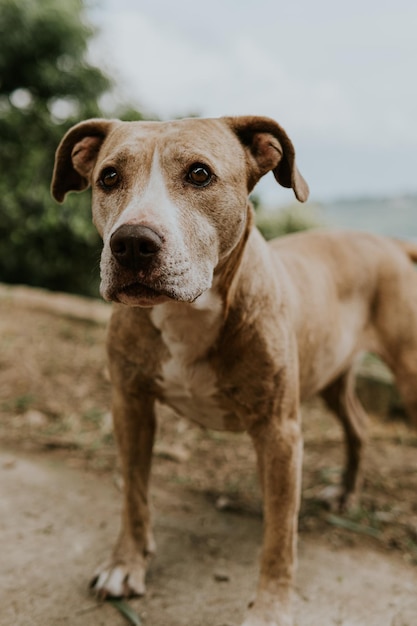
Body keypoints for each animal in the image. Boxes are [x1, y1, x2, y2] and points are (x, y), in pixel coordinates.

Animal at [51, 117, 416, 624]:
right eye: (108, 177)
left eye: (200, 174)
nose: (132, 243)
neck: (188, 314)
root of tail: (391, 244)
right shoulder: (130, 404)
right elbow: (134, 496)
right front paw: (126, 564)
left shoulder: (280, 433)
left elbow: (279, 537)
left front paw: (270, 608)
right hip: (329, 373)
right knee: (358, 425)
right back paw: (344, 494)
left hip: (408, 371)